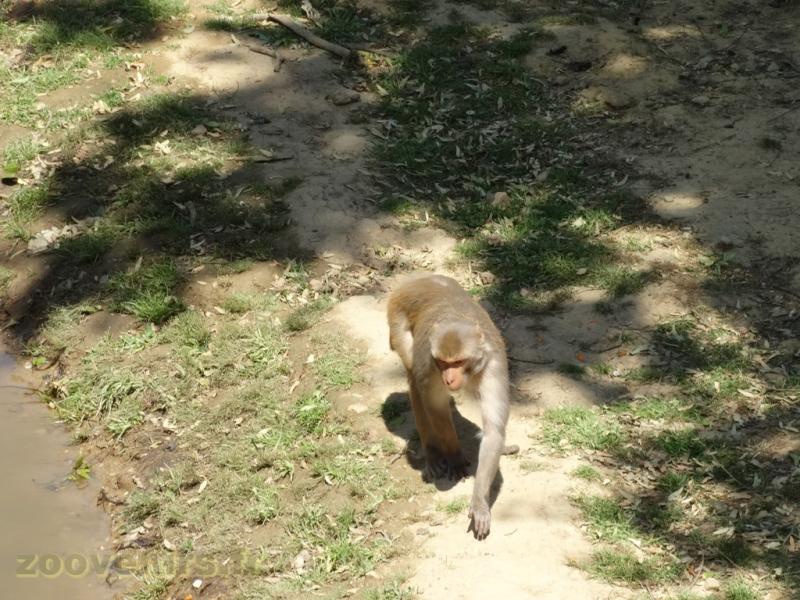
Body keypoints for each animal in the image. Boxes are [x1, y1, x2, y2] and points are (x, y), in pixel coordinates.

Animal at [387, 273, 511, 539]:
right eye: (444, 363)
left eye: (459, 362)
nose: (449, 379)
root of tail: (416, 280)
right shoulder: (430, 362)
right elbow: (435, 406)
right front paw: (454, 457)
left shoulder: (494, 364)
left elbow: (494, 431)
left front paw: (479, 502)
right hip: (396, 318)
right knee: (414, 379)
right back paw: (433, 454)